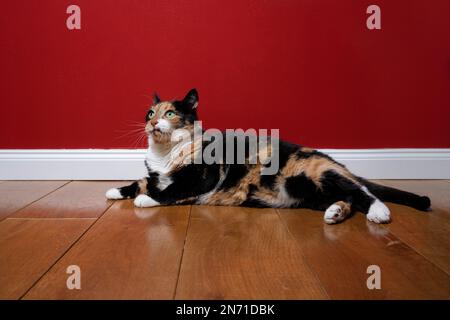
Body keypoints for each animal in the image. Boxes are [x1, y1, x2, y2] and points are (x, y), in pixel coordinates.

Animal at [106, 87, 432, 222]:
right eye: (150, 112)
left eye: (170, 113)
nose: (151, 123)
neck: (165, 153)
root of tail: (336, 162)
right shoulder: (155, 173)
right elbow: (142, 180)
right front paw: (114, 191)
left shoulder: (200, 178)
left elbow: (171, 189)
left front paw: (144, 200)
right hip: (310, 192)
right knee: (348, 198)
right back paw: (336, 213)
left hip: (316, 171)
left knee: (361, 190)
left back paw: (379, 213)